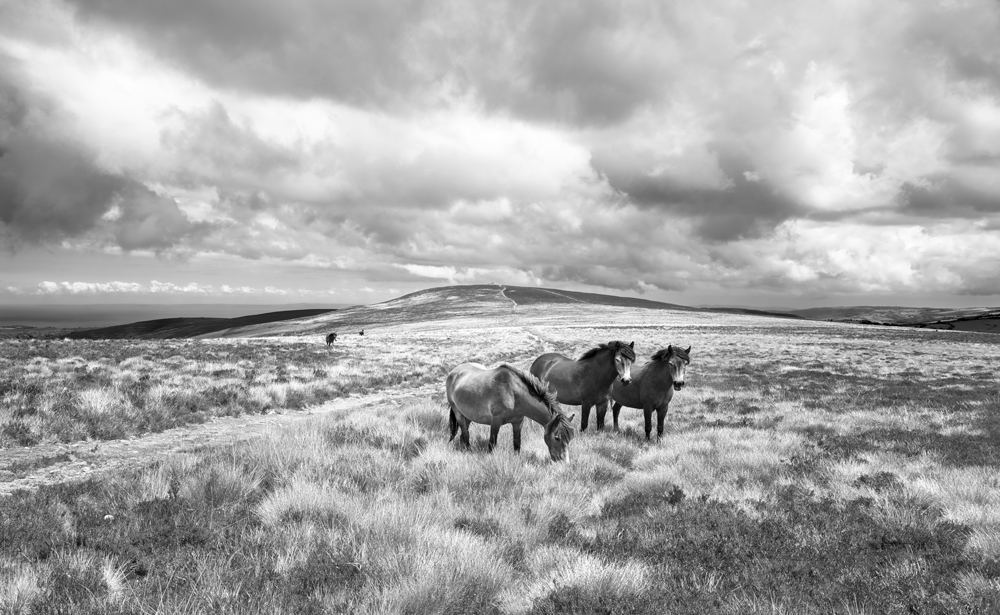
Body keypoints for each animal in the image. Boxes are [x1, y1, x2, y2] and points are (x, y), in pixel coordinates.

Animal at [448, 360, 580, 462]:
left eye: (570, 438)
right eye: (557, 437)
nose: (564, 462)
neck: (513, 393)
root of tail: (454, 372)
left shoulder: (518, 422)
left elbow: (517, 443)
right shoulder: (495, 421)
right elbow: (492, 443)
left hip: (469, 416)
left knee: (464, 432)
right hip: (458, 412)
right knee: (465, 432)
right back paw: (468, 450)